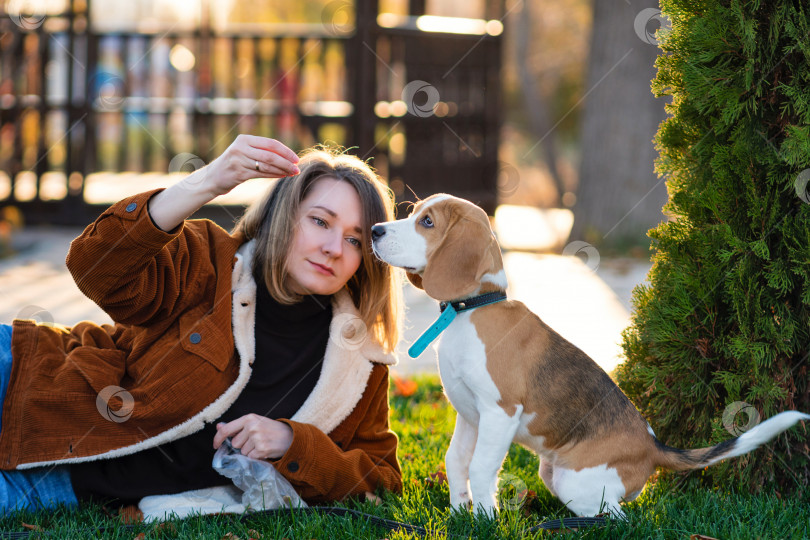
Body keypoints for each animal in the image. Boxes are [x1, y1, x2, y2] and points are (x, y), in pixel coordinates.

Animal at [370, 193, 808, 516]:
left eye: (428, 222)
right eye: (415, 212)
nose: (375, 229)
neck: (473, 308)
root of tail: (654, 446)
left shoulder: (499, 412)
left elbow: (479, 468)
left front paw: (485, 520)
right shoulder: (469, 414)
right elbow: (456, 462)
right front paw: (461, 514)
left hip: (572, 479)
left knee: (617, 515)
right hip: (554, 473)